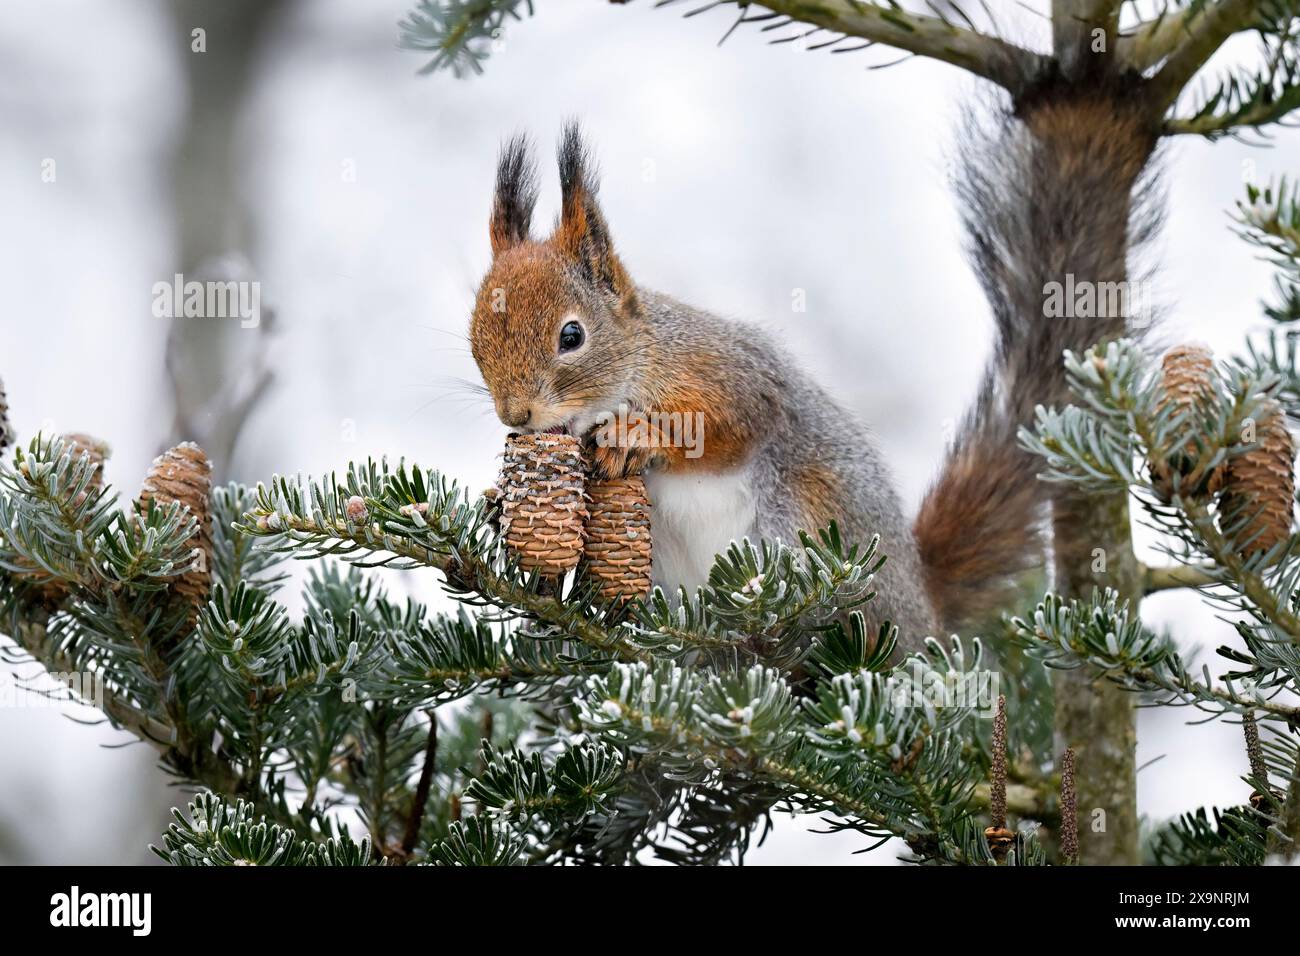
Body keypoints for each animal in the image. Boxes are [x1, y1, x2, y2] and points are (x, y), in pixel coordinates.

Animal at [468, 111, 1158, 651]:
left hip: (810, 517)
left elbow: (730, 429)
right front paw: (499, 500)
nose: (516, 416)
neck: (640, 360)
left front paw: (639, 435)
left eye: (572, 336)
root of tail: (924, 611)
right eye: (475, 337)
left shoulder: (730, 374)